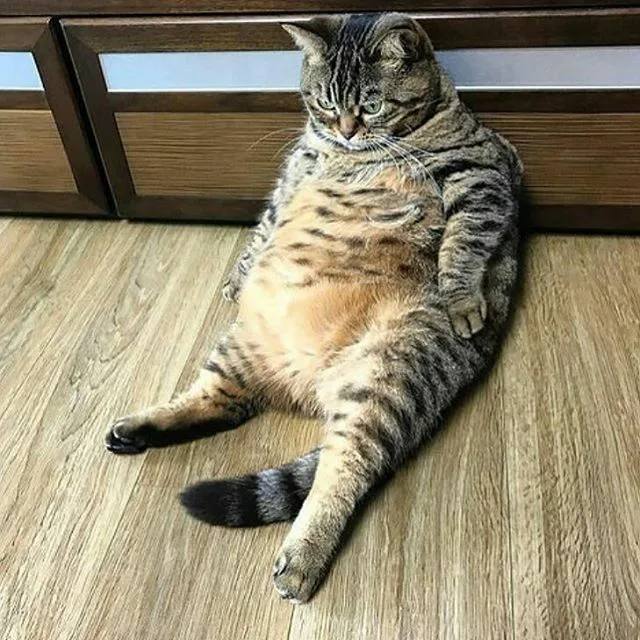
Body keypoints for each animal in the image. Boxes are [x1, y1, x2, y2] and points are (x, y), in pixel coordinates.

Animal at [105, 13, 522, 604]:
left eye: (371, 105)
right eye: (324, 103)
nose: (345, 130)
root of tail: (305, 378)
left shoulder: (481, 174)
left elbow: (464, 240)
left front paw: (461, 298)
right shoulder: (293, 173)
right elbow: (264, 225)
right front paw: (239, 274)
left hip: (387, 380)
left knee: (340, 473)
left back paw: (303, 556)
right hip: (240, 348)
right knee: (223, 402)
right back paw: (138, 427)